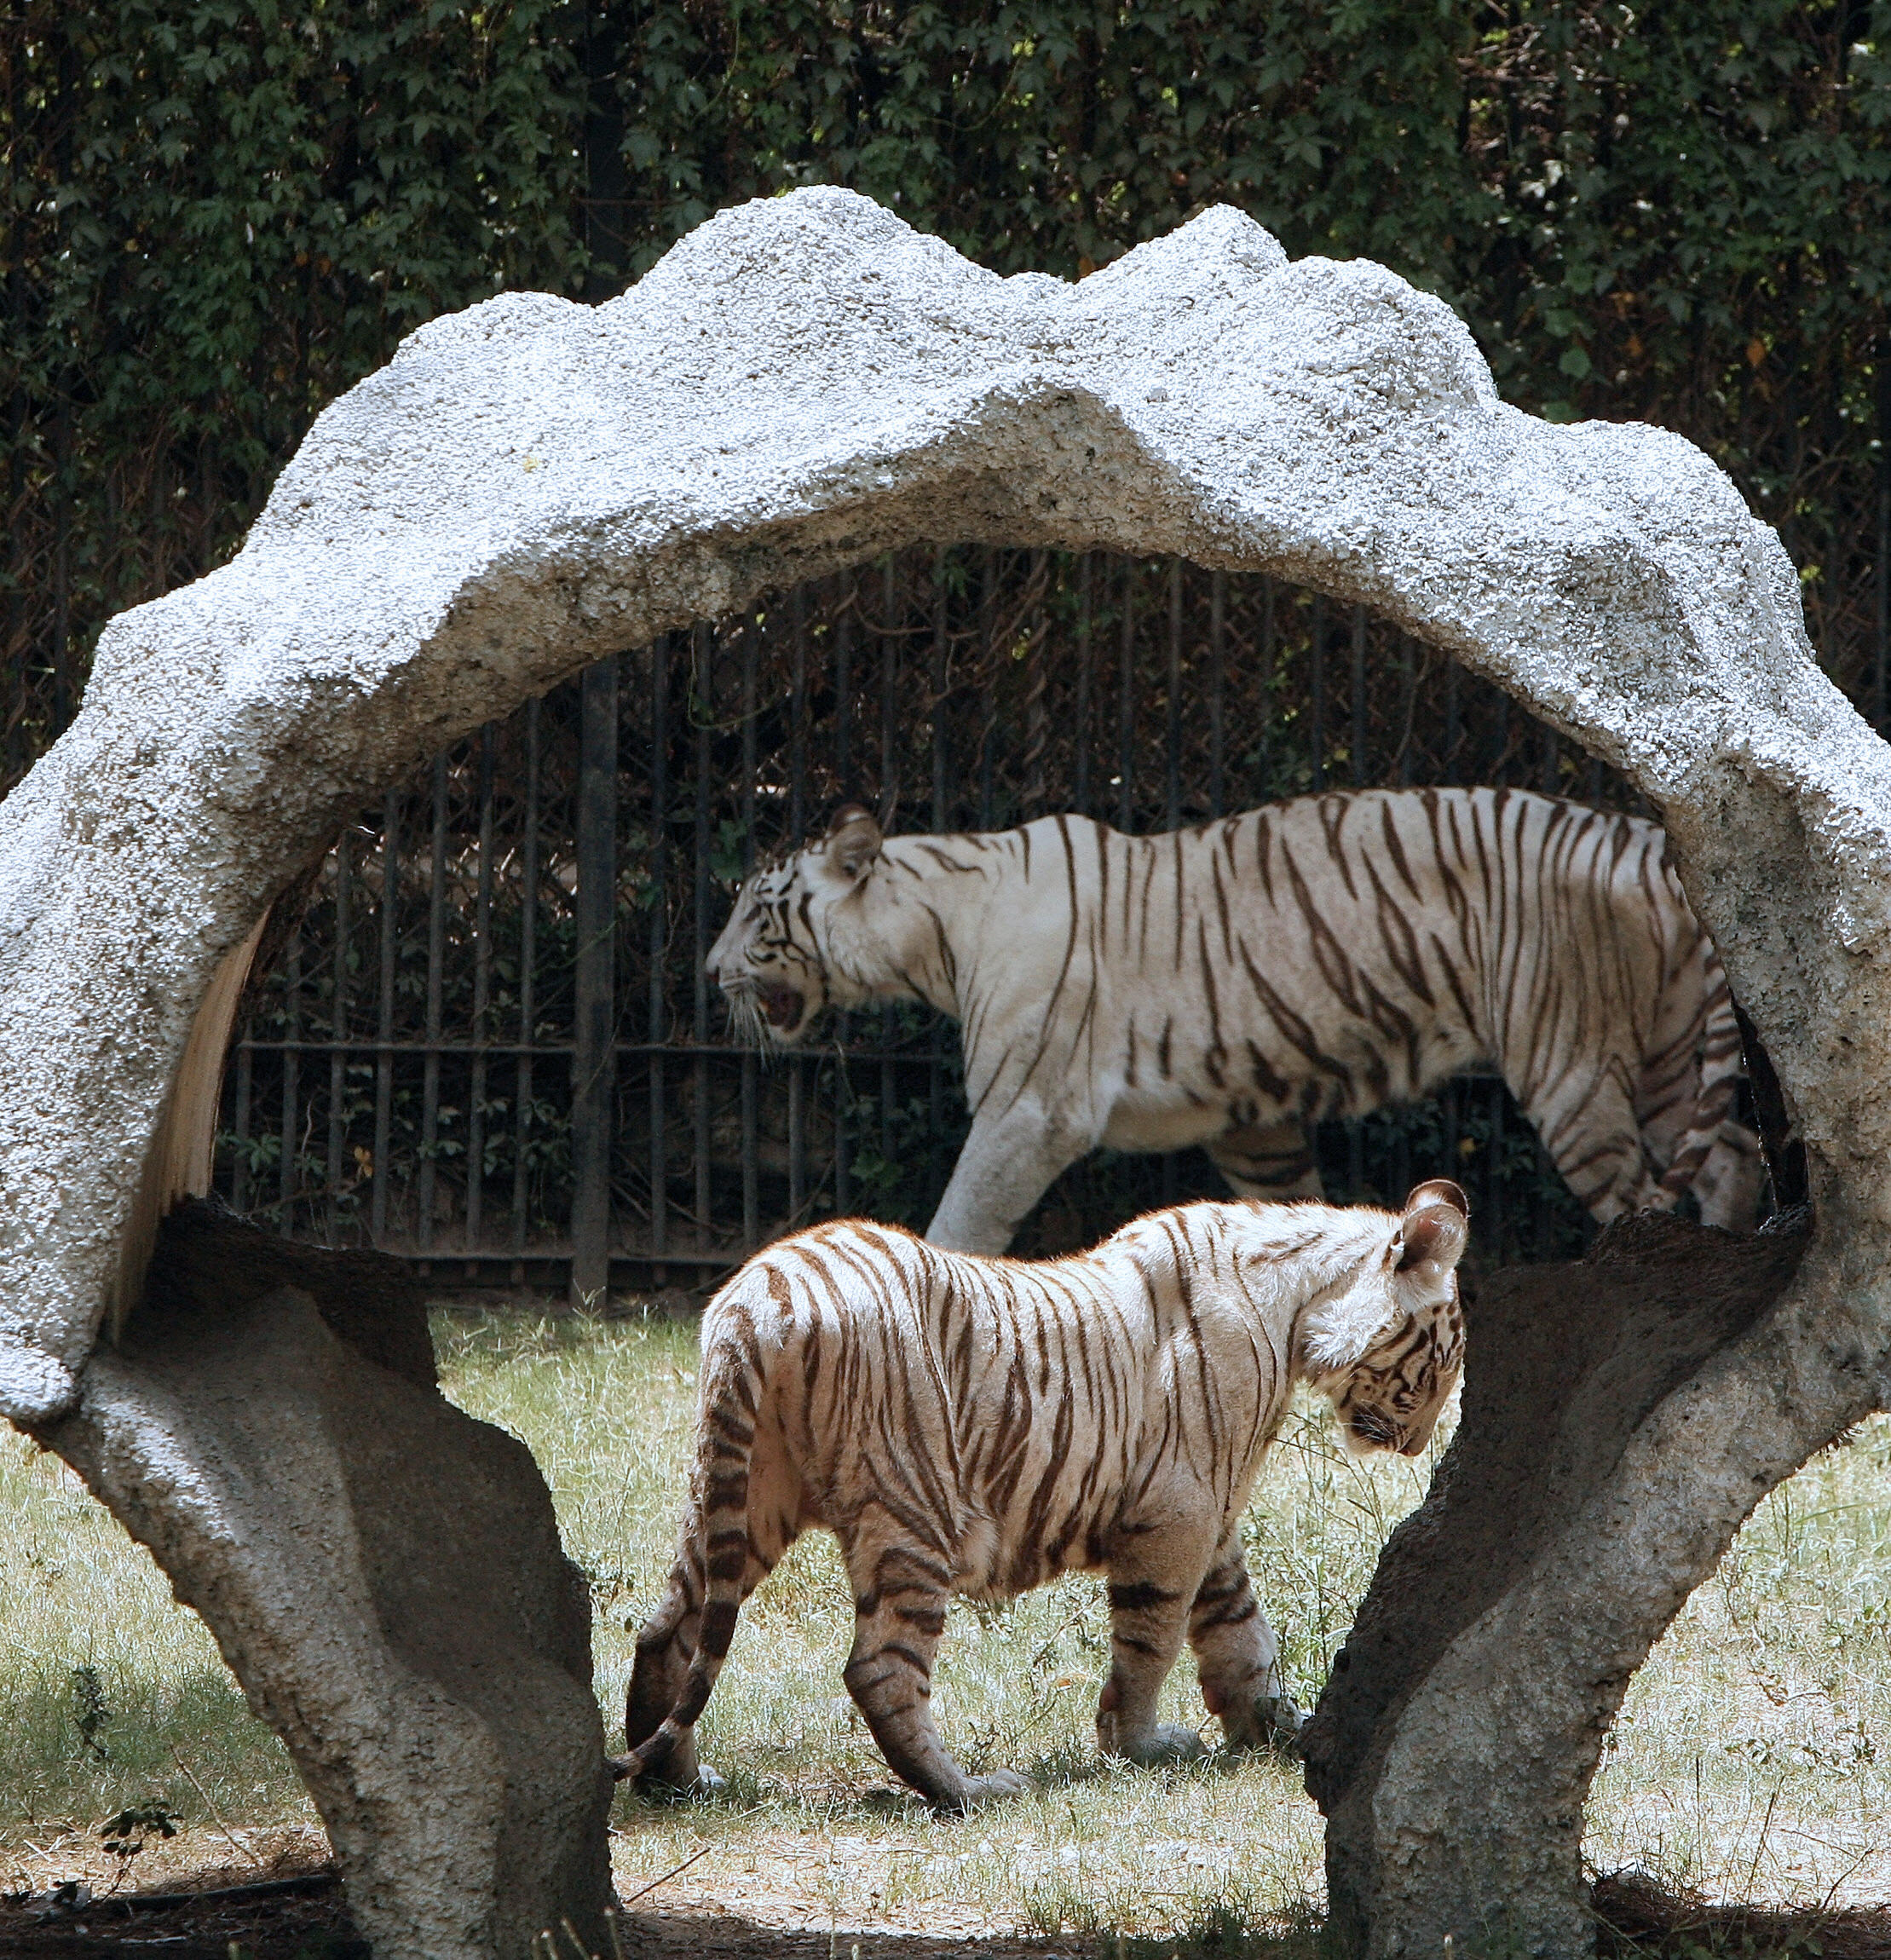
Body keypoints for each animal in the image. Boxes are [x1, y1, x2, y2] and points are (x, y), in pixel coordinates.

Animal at [709, 784, 1756, 1254]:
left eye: (758, 911)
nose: (710, 973)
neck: (930, 929)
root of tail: (1640, 834)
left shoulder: (1027, 1111)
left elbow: (961, 1219)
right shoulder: (1249, 1123)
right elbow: (1292, 1220)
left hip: (1568, 1060)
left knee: (1643, 1203)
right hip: (1669, 1054)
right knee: (1735, 1166)